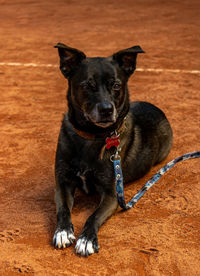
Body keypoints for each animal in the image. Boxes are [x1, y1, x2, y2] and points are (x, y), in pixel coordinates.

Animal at [53, 43, 173, 256]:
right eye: (87, 85)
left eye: (116, 85)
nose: (107, 109)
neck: (92, 136)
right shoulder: (62, 182)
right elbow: (63, 209)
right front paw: (63, 231)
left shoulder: (112, 194)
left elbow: (93, 216)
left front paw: (86, 239)